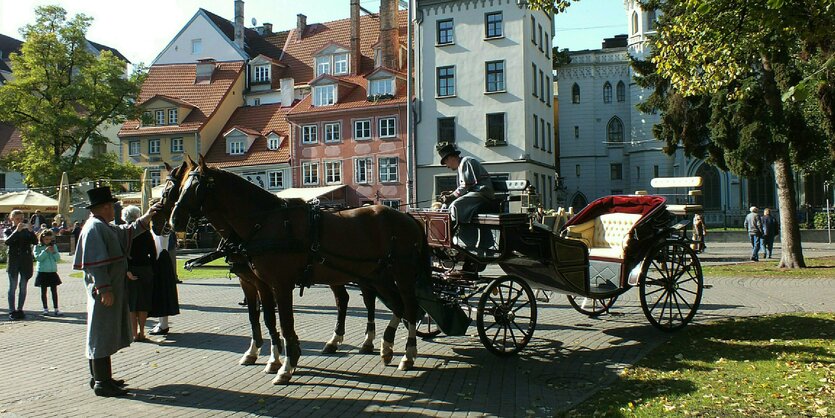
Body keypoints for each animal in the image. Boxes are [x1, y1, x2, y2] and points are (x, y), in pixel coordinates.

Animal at [172, 158, 428, 386]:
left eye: (195, 188)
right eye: (181, 187)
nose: (174, 221)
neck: (266, 222)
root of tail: (407, 217)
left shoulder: (280, 284)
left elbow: (284, 323)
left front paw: (286, 365)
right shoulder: (258, 283)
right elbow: (264, 318)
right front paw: (271, 358)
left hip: (401, 274)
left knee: (409, 307)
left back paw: (407, 354)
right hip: (377, 275)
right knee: (392, 305)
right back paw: (384, 346)